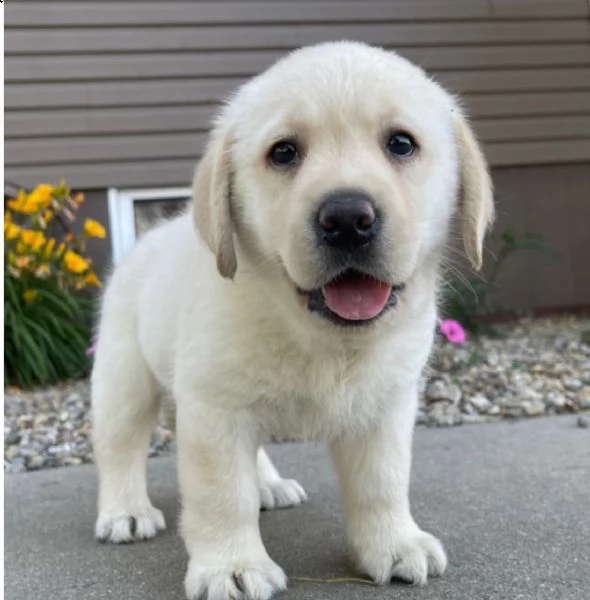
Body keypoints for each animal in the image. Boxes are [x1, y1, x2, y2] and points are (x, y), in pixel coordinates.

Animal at [92, 42, 498, 600]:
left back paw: (268, 484)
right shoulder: (215, 409)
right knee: (120, 446)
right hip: (123, 377)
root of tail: (149, 235)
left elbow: (383, 481)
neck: (320, 337)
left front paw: (393, 543)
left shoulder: (387, 403)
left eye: (400, 144)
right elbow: (223, 492)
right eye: (283, 153)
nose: (347, 218)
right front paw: (231, 566)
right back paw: (125, 512)